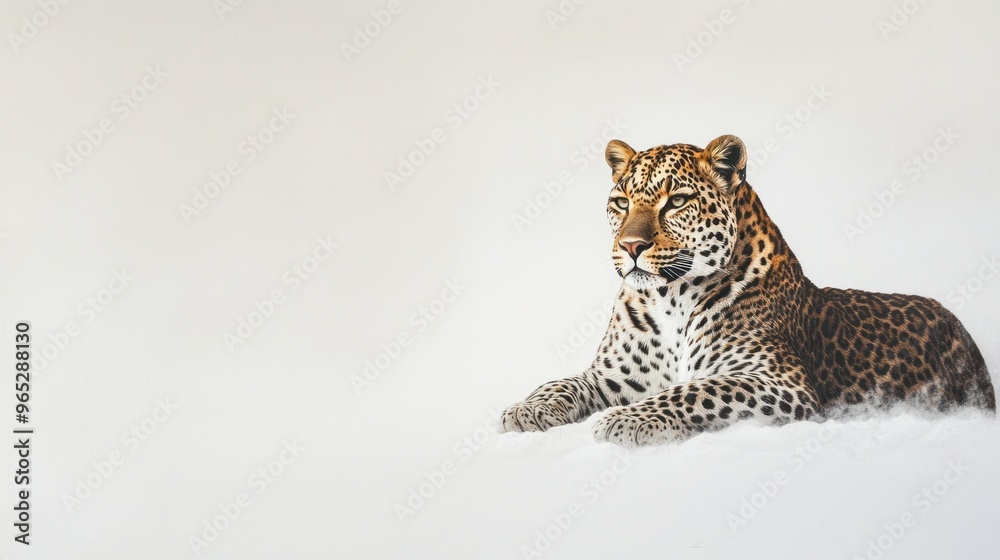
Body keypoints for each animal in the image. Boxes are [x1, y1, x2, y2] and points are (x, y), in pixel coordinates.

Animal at [498, 135, 996, 446]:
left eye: (676, 202)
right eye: (621, 202)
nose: (631, 246)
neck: (668, 300)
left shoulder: (781, 383)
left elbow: (694, 391)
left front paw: (623, 420)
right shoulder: (615, 375)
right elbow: (562, 382)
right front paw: (523, 410)